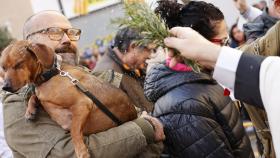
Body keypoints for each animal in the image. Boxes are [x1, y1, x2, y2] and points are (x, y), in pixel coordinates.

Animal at [0, 41, 138, 158]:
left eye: (18, 64)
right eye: (3, 68)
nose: (5, 87)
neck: (50, 75)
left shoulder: (82, 104)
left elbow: (74, 131)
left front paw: (81, 151)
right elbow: (35, 96)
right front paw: (30, 109)